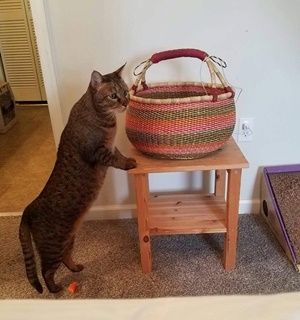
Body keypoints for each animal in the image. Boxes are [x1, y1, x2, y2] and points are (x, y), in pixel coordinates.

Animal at [18, 65, 136, 296]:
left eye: (126, 92)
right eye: (113, 96)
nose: (126, 103)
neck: (105, 120)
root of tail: (29, 208)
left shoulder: (110, 146)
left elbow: (119, 154)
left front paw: (128, 159)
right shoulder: (99, 153)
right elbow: (116, 160)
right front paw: (129, 164)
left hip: (68, 239)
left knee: (65, 258)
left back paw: (75, 268)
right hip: (53, 244)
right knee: (46, 271)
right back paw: (55, 289)